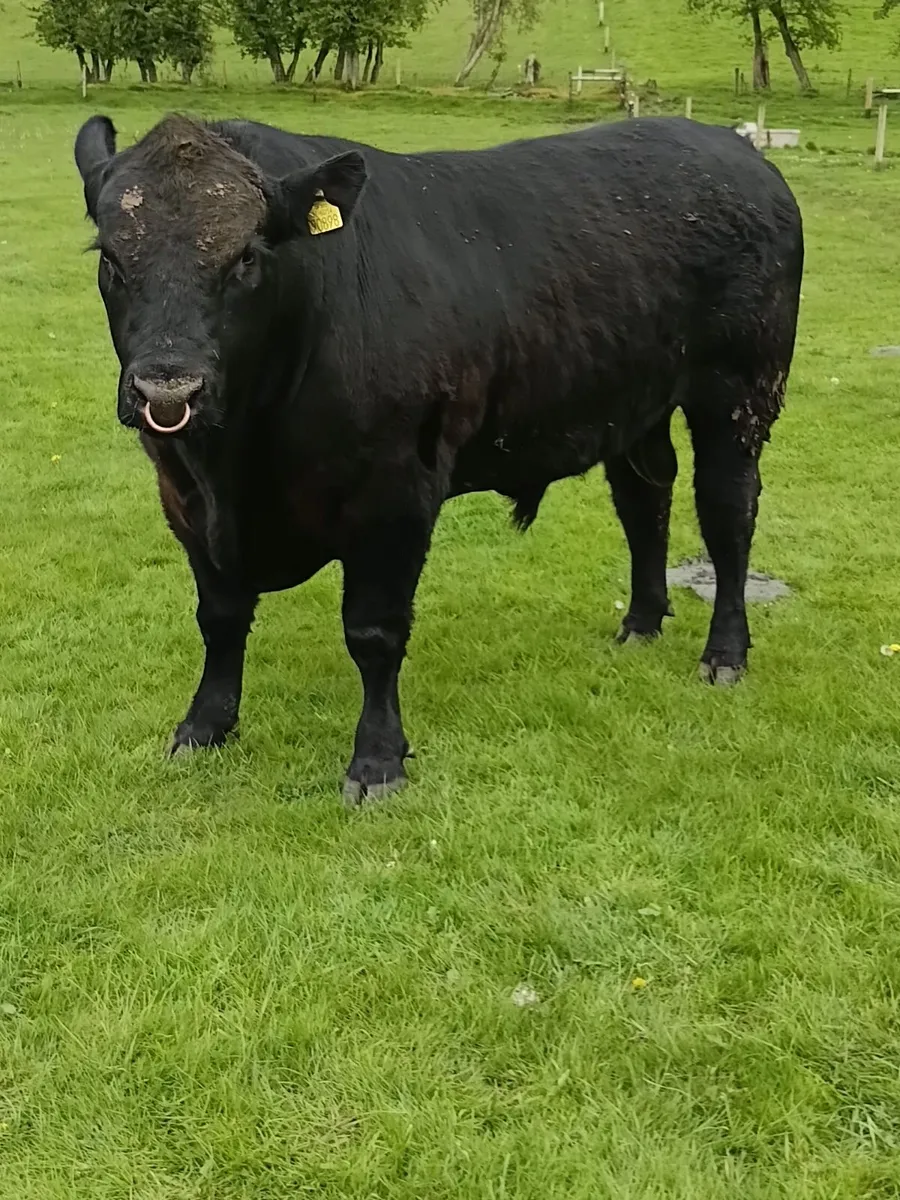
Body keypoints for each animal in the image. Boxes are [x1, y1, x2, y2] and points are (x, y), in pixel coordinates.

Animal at [73, 112, 803, 802]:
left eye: (247, 258)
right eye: (111, 259)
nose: (168, 389)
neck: (238, 462)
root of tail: (734, 150)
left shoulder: (395, 495)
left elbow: (373, 632)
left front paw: (377, 761)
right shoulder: (185, 500)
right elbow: (219, 618)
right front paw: (203, 727)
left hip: (739, 390)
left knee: (728, 513)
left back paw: (724, 654)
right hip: (637, 401)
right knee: (643, 499)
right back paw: (642, 623)